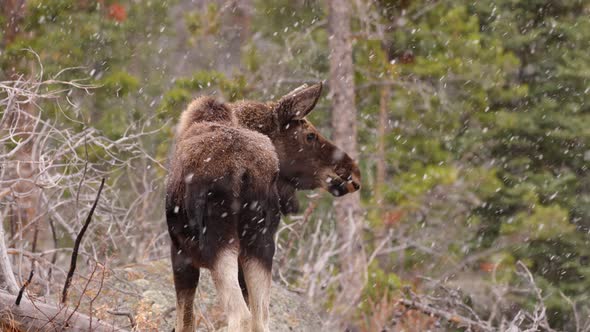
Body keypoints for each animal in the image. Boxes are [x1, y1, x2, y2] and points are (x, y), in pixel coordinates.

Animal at [165, 83, 360, 332]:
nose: (353, 172)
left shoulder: (180, 252)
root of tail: (244, 170)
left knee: (241, 316)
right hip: (260, 245)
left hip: (220, 244)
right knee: (260, 319)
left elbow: (185, 321)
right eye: (310, 135)